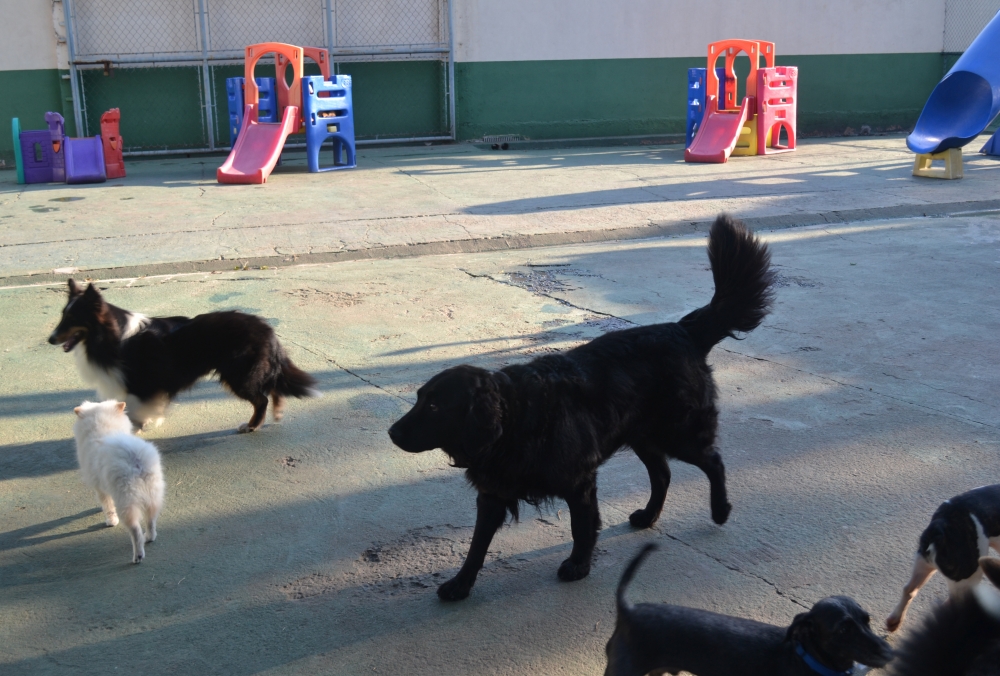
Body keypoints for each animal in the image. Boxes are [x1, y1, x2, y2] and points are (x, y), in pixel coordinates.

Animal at [48, 278, 318, 434]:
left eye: (72, 318)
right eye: (63, 315)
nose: (50, 339)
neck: (111, 336)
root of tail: (268, 330)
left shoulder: (142, 385)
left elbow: (138, 411)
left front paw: (143, 425)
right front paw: (151, 421)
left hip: (239, 375)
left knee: (261, 398)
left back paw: (252, 426)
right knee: (272, 387)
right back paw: (276, 413)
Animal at [73, 398, 166, 564]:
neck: (103, 428)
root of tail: (135, 458)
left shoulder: (99, 488)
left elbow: (107, 505)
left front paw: (111, 521)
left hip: (127, 503)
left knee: (135, 531)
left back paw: (138, 556)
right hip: (154, 494)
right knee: (151, 520)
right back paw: (149, 537)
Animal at [388, 214, 772, 600]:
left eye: (434, 406)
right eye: (419, 398)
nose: (391, 432)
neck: (516, 418)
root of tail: (683, 331)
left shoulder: (579, 481)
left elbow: (582, 527)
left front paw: (579, 566)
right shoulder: (494, 492)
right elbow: (477, 544)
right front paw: (461, 583)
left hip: (680, 431)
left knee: (713, 461)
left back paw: (720, 510)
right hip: (645, 436)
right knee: (663, 474)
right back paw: (648, 516)